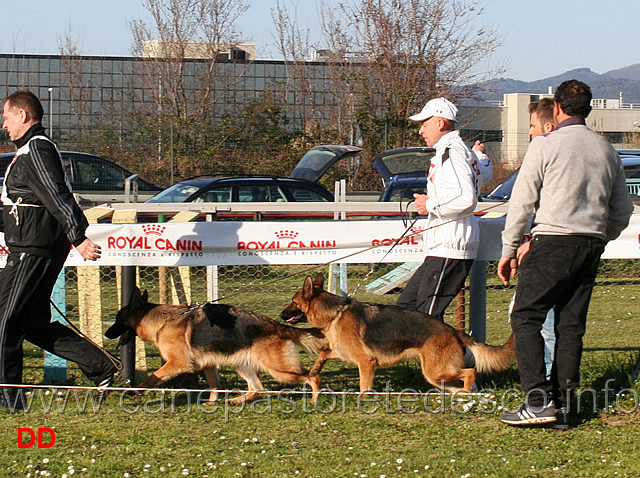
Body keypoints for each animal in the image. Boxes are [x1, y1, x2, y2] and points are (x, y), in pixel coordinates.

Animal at [104, 288, 328, 404]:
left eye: (117, 320)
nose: (106, 334)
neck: (162, 321)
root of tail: (277, 325)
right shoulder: (209, 365)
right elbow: (214, 385)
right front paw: (212, 402)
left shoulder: (177, 363)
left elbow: (152, 378)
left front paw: (134, 391)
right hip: (243, 366)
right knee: (258, 389)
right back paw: (236, 401)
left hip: (279, 370)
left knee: (312, 377)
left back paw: (315, 400)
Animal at [280, 274, 516, 394]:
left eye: (293, 302)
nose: (281, 314)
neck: (335, 313)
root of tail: (452, 330)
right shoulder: (344, 352)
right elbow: (323, 354)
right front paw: (314, 370)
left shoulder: (366, 362)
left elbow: (364, 387)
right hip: (435, 375)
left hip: (435, 371)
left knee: (470, 372)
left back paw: (468, 393)